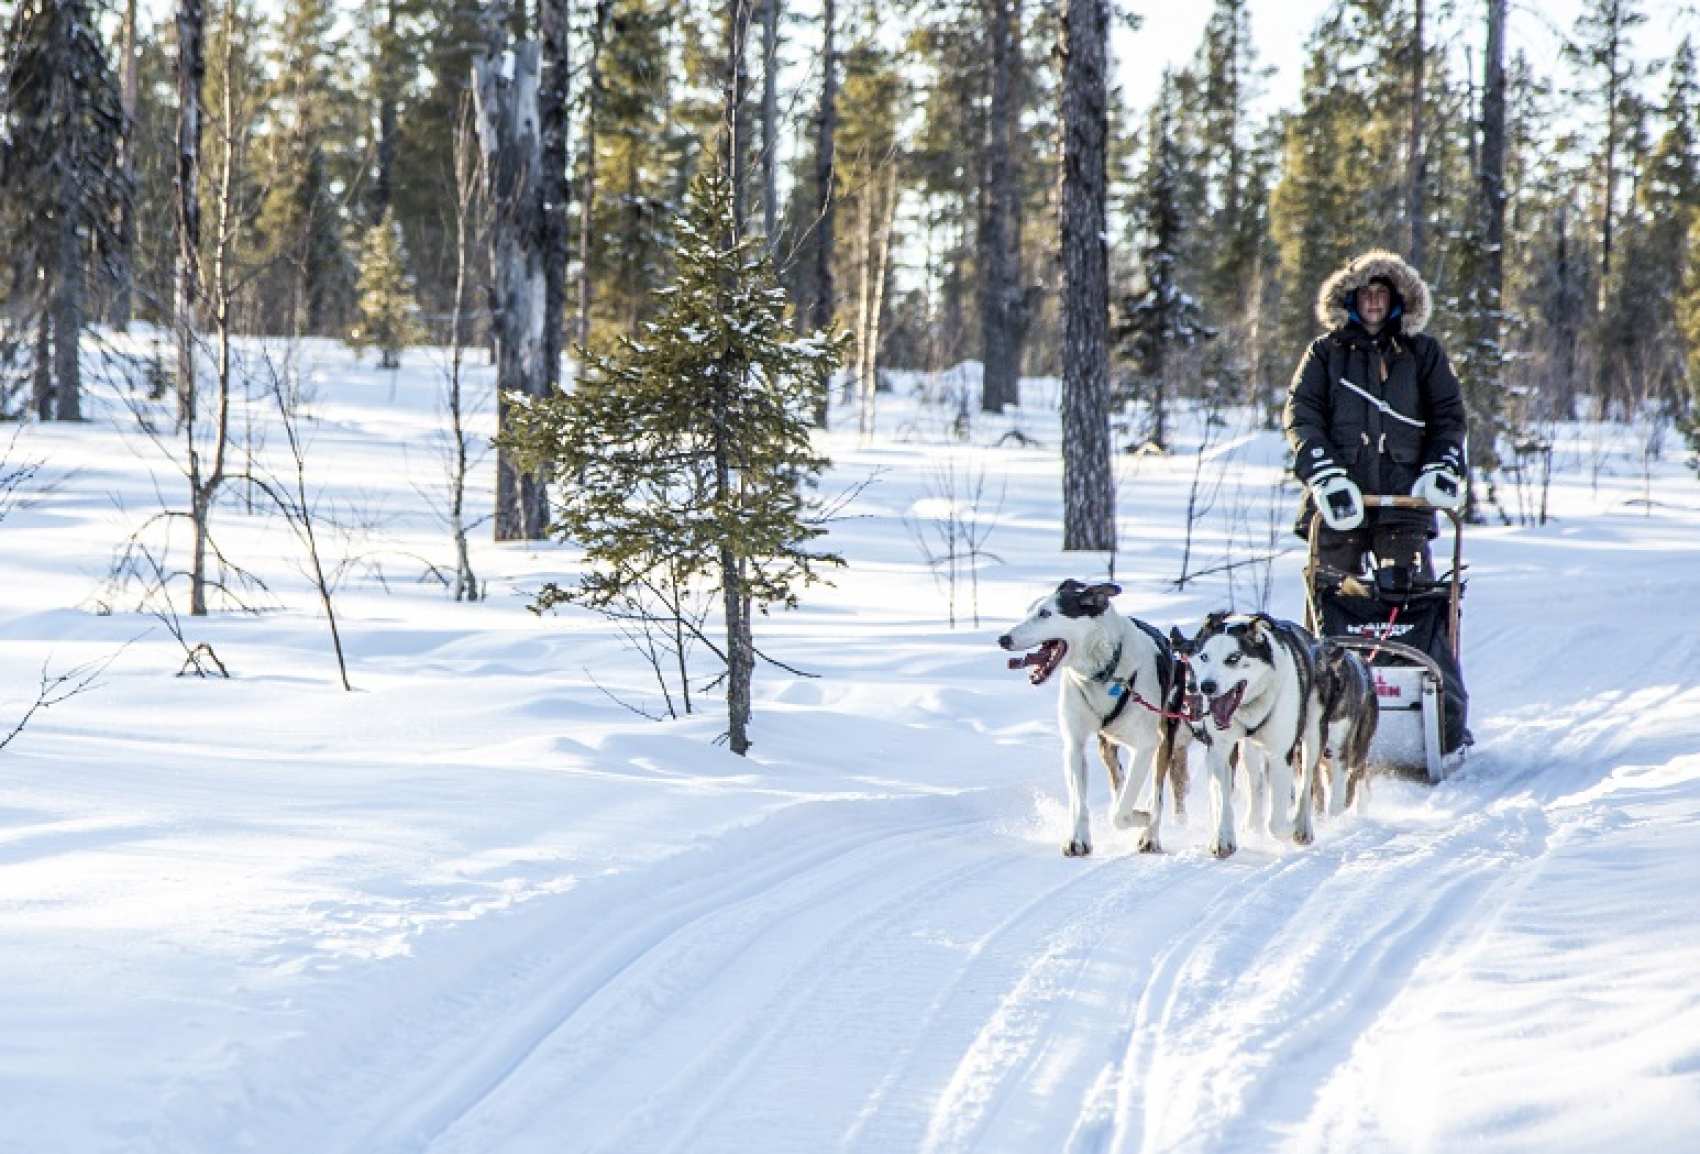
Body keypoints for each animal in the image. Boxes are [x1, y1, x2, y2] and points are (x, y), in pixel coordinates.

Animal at [999, 577, 1190, 856]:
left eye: (1045, 613)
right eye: (1029, 610)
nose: (1003, 638)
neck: (1104, 672)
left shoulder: (1146, 745)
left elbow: (1122, 813)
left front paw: (1141, 817)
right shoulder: (1074, 743)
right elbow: (1080, 800)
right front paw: (1078, 840)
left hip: (1165, 736)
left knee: (1155, 792)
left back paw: (1150, 834)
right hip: (1107, 745)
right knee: (1119, 781)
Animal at [1169, 615, 1326, 856]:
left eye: (1233, 658)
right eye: (1204, 656)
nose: (1206, 686)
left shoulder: (1281, 755)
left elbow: (1276, 822)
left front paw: (1288, 828)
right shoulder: (1219, 750)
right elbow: (1222, 796)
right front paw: (1222, 839)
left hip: (1312, 737)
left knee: (1306, 780)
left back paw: (1302, 826)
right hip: (1247, 748)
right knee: (1255, 782)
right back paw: (1252, 823)